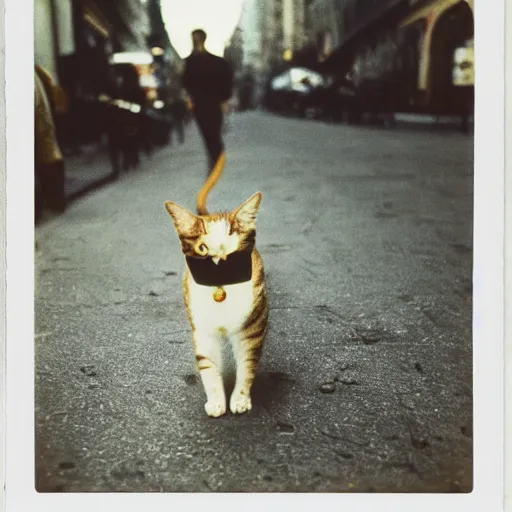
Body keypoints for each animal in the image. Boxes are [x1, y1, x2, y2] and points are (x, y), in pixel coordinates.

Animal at [165, 180, 270, 416]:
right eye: (202, 248)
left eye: (233, 248)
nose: (220, 263)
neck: (221, 289)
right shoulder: (202, 329)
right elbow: (208, 366)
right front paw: (215, 401)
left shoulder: (252, 326)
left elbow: (247, 363)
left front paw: (240, 399)